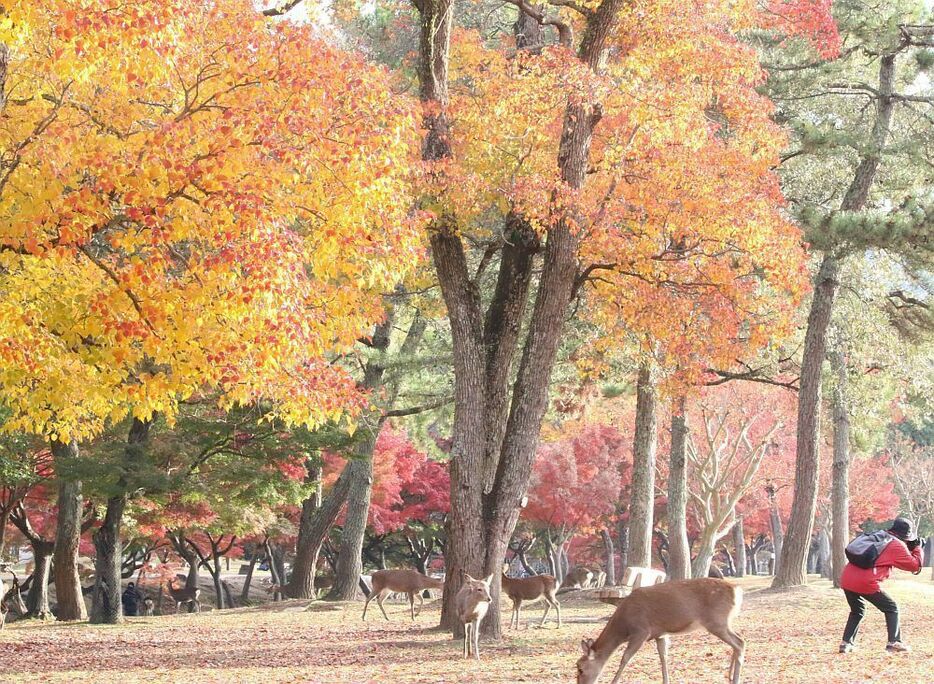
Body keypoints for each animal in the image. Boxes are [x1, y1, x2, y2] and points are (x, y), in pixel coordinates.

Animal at [576, 576, 744, 684]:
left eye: (580, 669)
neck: (624, 627)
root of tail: (737, 590)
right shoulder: (660, 634)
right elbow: (663, 657)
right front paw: (666, 680)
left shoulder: (641, 631)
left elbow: (625, 658)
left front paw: (613, 681)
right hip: (723, 622)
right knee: (738, 641)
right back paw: (729, 677)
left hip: (716, 621)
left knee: (739, 642)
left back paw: (735, 679)